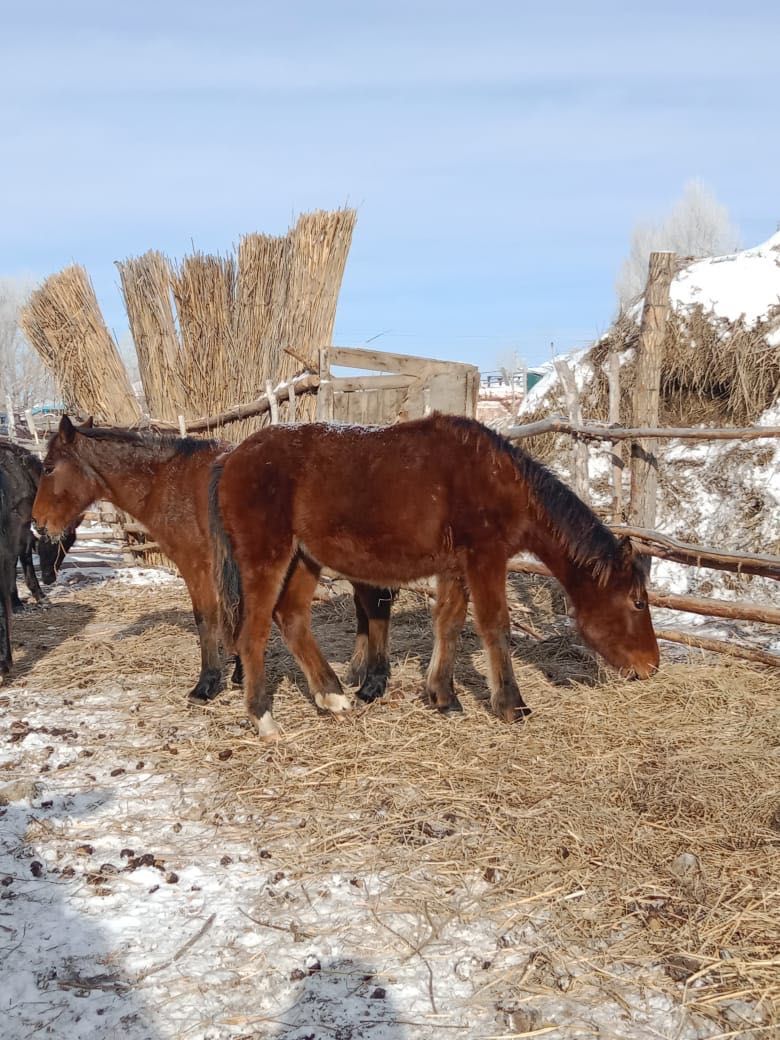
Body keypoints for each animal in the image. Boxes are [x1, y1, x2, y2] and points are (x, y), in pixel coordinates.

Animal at [31, 413, 397, 707]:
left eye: (48, 467)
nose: (37, 524)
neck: (168, 481)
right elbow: (233, 616)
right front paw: (239, 673)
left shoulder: (197, 566)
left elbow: (207, 618)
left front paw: (207, 684)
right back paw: (357, 673)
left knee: (374, 607)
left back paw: (372, 683)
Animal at [209, 409, 661, 736]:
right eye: (638, 602)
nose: (651, 668)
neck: (499, 478)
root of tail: (232, 457)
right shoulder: (485, 558)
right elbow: (495, 625)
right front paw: (511, 705)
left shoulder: (457, 566)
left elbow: (448, 623)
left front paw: (443, 696)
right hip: (268, 558)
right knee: (254, 632)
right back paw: (263, 718)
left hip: (305, 559)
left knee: (292, 618)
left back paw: (332, 696)